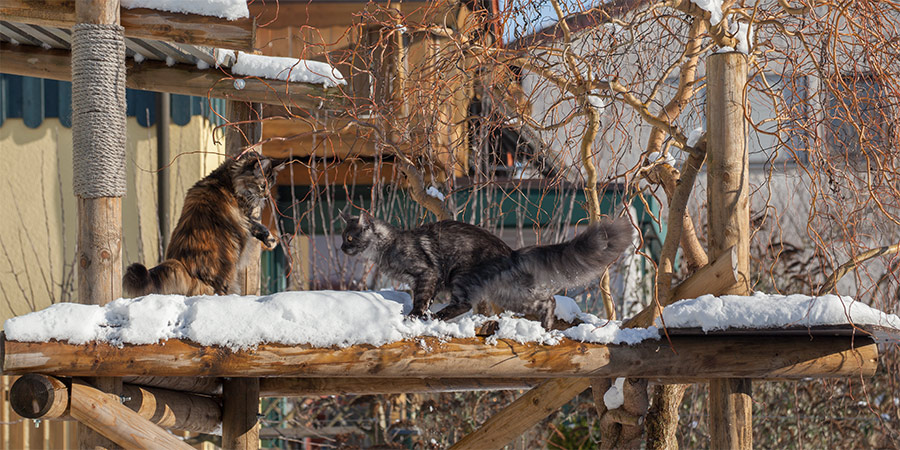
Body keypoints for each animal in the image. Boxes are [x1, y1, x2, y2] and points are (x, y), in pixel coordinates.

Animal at [123, 151, 279, 297]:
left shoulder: (246, 219)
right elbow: (256, 225)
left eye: (271, 185)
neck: (227, 180)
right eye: (263, 185)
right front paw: (270, 240)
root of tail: (188, 269)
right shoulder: (244, 217)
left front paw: (271, 240)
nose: (266, 196)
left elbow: (258, 227)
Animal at [340, 212, 633, 328]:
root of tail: (511, 252)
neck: (388, 246)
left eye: (350, 238)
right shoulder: (425, 281)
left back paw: (439, 317)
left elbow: (421, 299)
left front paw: (415, 316)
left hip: (461, 275)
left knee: (464, 304)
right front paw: (421, 315)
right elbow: (425, 298)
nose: (342, 247)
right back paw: (547, 326)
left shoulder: (426, 273)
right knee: (546, 301)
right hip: (508, 293)